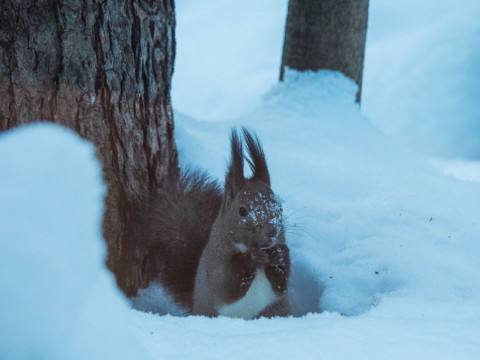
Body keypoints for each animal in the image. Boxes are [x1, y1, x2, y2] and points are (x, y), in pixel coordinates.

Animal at [137, 129, 290, 318]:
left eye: (280, 207)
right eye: (242, 211)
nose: (272, 231)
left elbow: (280, 285)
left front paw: (280, 254)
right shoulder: (215, 266)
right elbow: (228, 284)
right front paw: (251, 259)